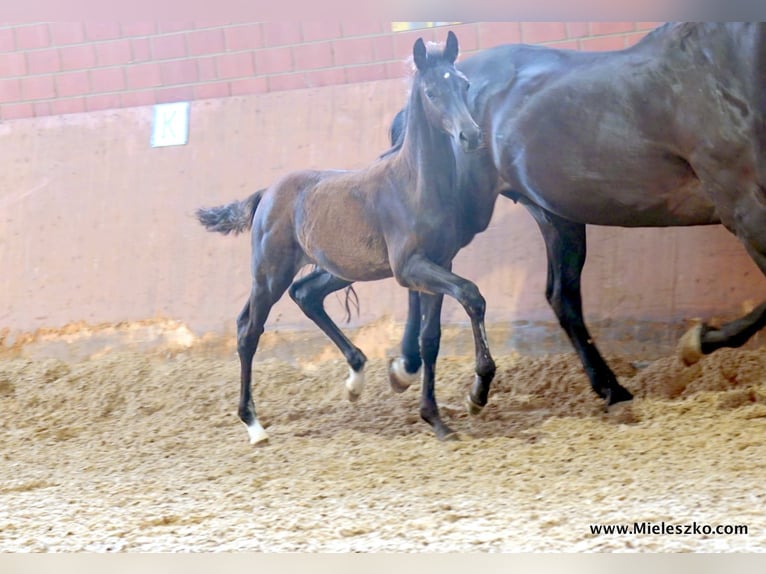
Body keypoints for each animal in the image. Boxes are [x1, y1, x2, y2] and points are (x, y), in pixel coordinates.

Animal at [198, 31, 498, 446]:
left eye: (464, 84)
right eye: (432, 91)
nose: (470, 135)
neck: (414, 186)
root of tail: (266, 193)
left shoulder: (440, 263)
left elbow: (431, 338)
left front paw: (436, 419)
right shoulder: (410, 268)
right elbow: (472, 294)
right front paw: (477, 394)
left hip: (338, 269)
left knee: (306, 295)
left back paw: (355, 379)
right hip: (269, 274)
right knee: (248, 329)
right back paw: (253, 425)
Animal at [384, 22, 766, 410]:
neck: (724, 63)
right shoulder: (745, 211)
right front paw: (697, 342)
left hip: (555, 216)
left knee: (561, 298)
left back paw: (610, 388)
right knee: (419, 268)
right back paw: (412, 368)